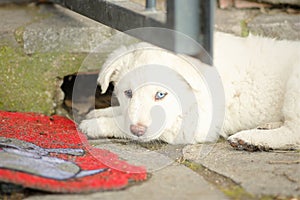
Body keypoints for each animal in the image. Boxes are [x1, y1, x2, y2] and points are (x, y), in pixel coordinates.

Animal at [79, 31, 300, 150]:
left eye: (161, 94)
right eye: (128, 93)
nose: (138, 130)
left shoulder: (194, 125)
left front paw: (94, 124)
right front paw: (99, 113)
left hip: (294, 86)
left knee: (293, 133)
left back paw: (249, 139)